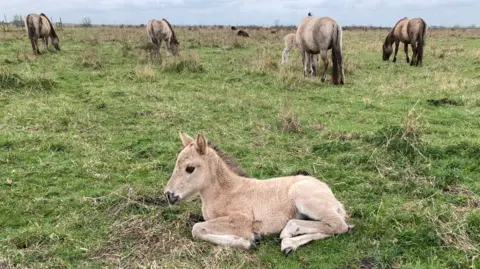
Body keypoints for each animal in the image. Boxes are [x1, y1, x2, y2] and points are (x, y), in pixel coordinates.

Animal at [165, 132, 352, 253]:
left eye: (190, 168)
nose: (169, 195)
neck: (227, 191)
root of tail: (331, 195)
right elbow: (200, 229)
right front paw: (251, 239)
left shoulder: (241, 218)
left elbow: (197, 228)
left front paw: (249, 241)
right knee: (334, 226)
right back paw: (288, 244)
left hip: (304, 197)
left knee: (338, 224)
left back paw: (288, 232)